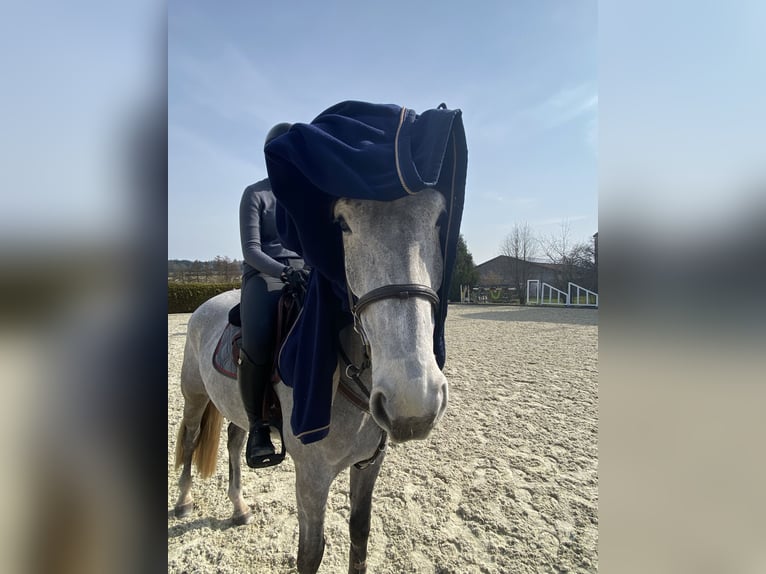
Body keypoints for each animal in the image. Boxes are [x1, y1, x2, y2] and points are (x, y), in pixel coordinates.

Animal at [173, 188, 450, 574]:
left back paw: (239, 507)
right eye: (343, 224)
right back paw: (183, 501)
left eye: (438, 218)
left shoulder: (369, 465)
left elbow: (359, 535)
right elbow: (310, 553)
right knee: (190, 439)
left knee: (233, 441)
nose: (412, 402)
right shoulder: (311, 478)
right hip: (195, 396)